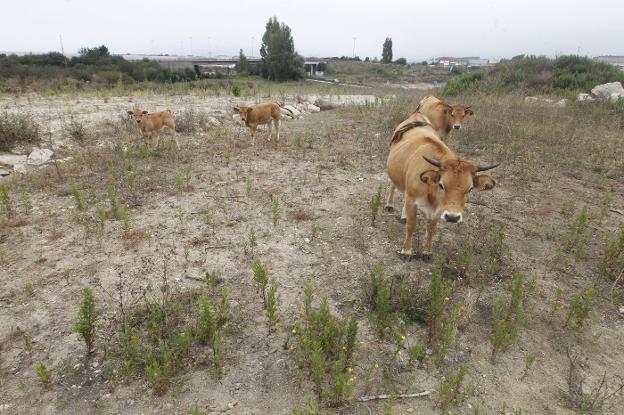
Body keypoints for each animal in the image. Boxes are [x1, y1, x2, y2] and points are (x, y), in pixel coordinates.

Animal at [386, 112, 498, 258]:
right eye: (441, 185)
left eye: (470, 189)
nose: (452, 217)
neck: (431, 192)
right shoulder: (412, 200)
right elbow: (411, 226)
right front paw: (406, 251)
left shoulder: (438, 209)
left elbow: (431, 229)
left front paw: (427, 251)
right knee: (393, 186)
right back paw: (389, 205)